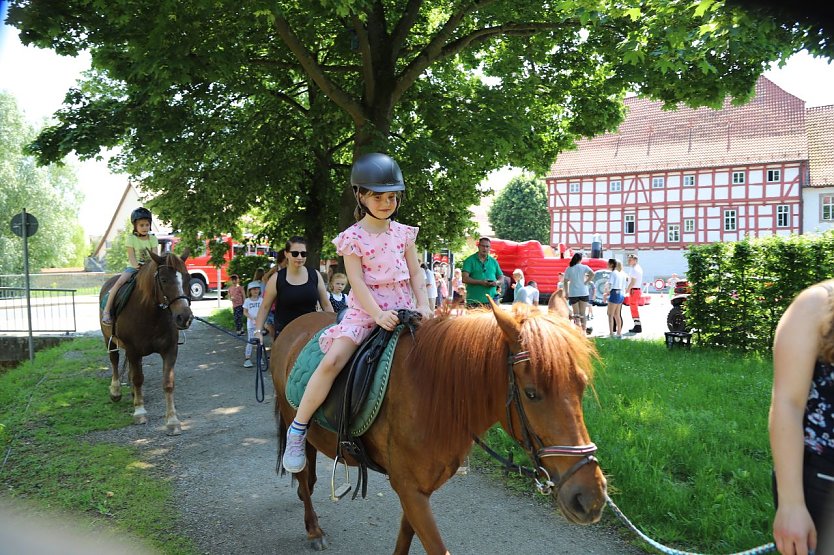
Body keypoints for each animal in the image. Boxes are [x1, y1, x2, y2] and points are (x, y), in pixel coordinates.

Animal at [98, 250, 193, 436]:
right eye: (164, 279)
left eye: (187, 277)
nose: (184, 317)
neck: (150, 314)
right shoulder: (132, 350)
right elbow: (137, 379)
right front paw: (139, 412)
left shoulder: (170, 350)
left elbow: (168, 383)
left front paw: (172, 421)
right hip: (110, 341)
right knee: (114, 362)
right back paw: (116, 391)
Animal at [272, 298, 604, 552]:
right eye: (532, 393)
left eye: (581, 386)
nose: (590, 498)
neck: (431, 393)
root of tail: (292, 326)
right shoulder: (409, 489)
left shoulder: (419, 491)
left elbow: (405, 539)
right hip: (292, 418)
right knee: (300, 467)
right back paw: (313, 529)